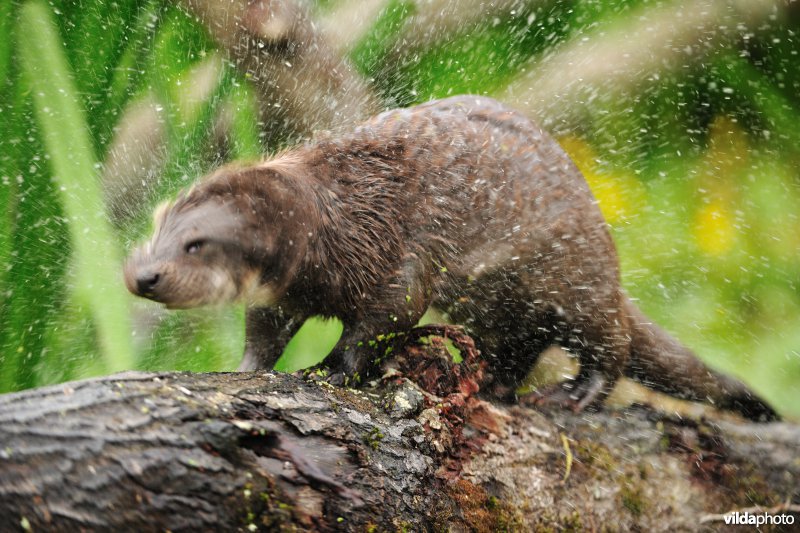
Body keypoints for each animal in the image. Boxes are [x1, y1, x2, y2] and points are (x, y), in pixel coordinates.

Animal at [124, 96, 776, 420]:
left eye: (196, 243)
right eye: (154, 230)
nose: (143, 273)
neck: (347, 216)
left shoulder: (397, 257)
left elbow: (385, 320)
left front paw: (331, 371)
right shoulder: (289, 291)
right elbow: (265, 328)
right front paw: (243, 370)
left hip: (578, 280)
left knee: (608, 341)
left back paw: (575, 395)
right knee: (523, 345)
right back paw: (495, 386)